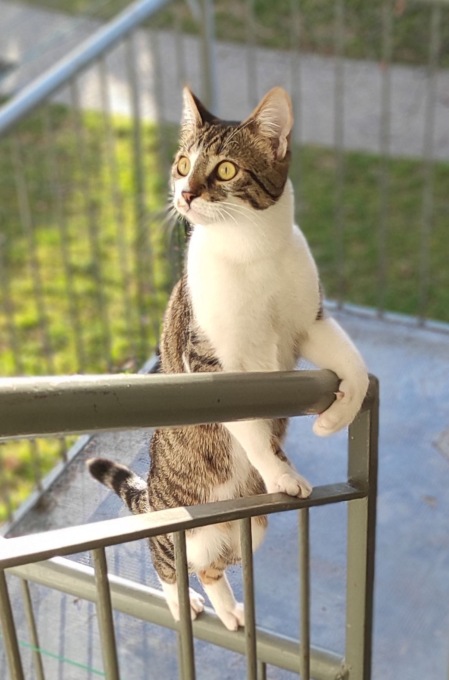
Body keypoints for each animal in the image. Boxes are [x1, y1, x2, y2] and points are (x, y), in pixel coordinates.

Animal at [88, 86, 369, 631]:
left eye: (224, 169)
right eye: (182, 164)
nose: (185, 194)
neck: (253, 251)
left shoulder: (310, 321)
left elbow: (356, 366)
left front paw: (335, 417)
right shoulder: (212, 363)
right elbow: (251, 427)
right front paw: (281, 473)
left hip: (249, 528)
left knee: (212, 566)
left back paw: (229, 609)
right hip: (180, 529)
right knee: (169, 559)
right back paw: (183, 603)